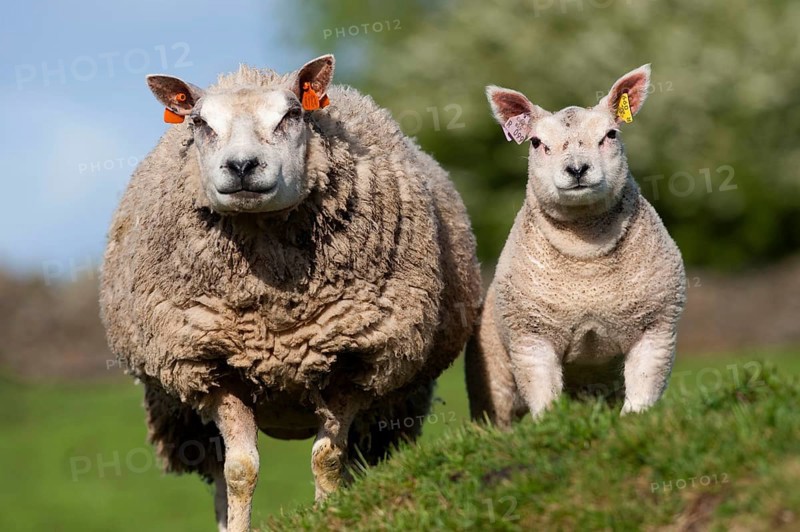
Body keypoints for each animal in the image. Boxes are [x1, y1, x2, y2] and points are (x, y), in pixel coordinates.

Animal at [99, 54, 481, 531]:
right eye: (200, 122)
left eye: (292, 115)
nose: (242, 166)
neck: (275, 307)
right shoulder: (212, 364)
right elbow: (239, 469)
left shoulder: (354, 358)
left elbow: (329, 459)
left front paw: (329, 514)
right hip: (182, 415)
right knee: (218, 473)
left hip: (392, 407)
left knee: (355, 459)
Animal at [465, 65, 686, 428]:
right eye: (536, 142)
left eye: (611, 135)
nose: (577, 169)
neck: (586, 258)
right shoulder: (530, 336)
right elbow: (542, 390)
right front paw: (550, 424)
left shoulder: (655, 326)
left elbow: (644, 382)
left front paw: (635, 419)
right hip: (493, 372)